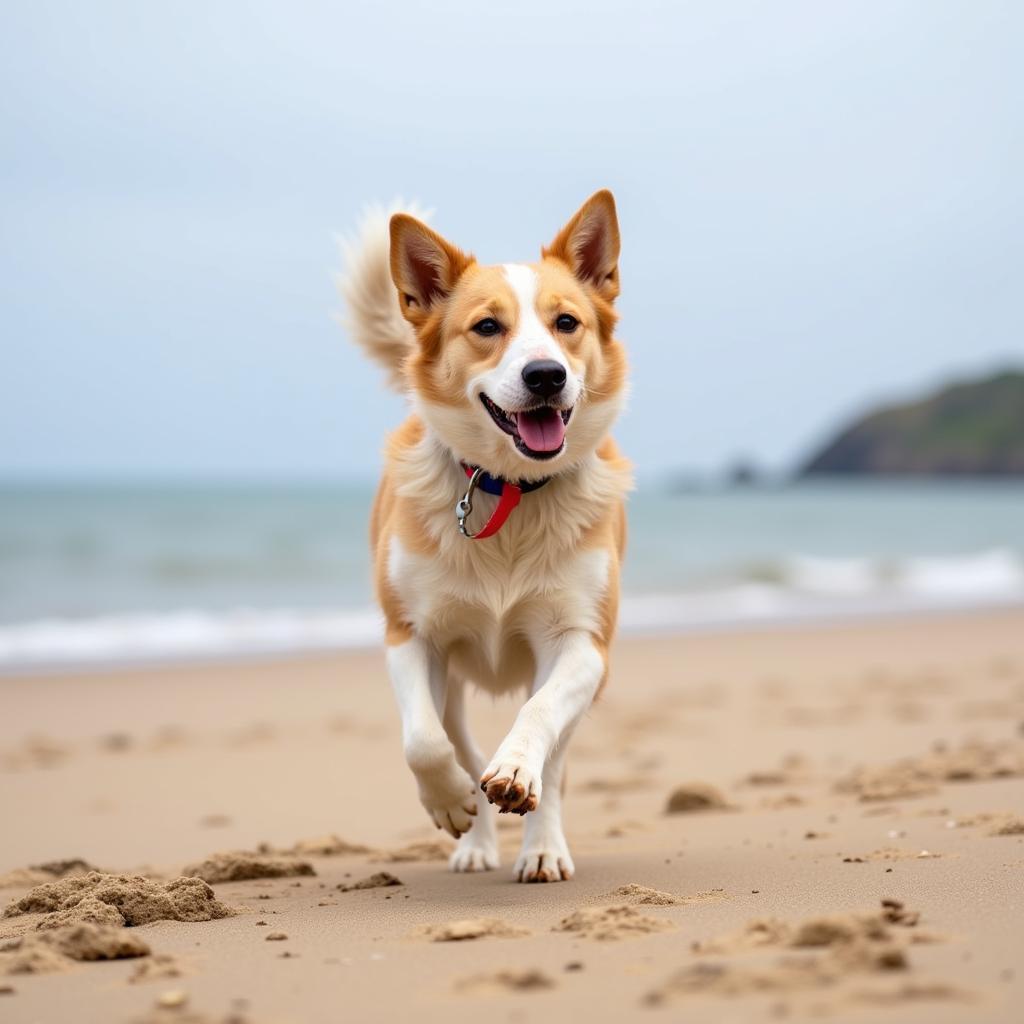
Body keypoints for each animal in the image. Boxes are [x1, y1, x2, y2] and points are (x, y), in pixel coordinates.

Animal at [339, 190, 626, 880]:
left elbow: (538, 716)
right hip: (451, 679)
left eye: (567, 322)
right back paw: (473, 838)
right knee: (458, 741)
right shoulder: (411, 635)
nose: (547, 375)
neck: (510, 492)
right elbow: (423, 742)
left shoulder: (583, 642)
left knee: (555, 758)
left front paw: (517, 772)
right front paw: (450, 803)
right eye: (488, 328)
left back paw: (542, 847)